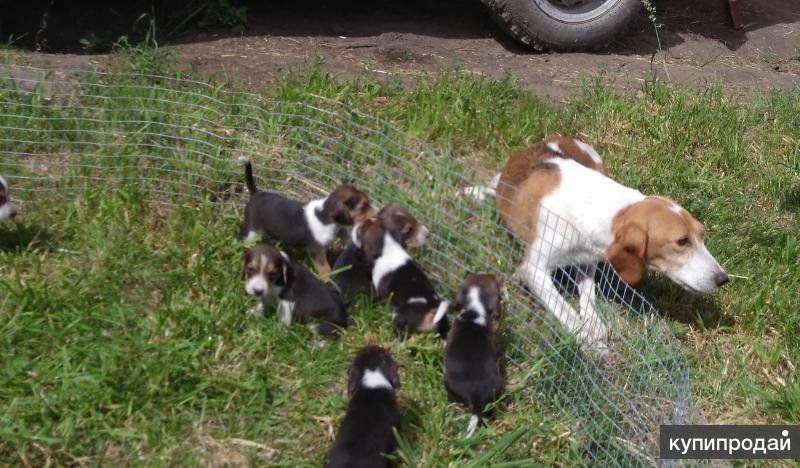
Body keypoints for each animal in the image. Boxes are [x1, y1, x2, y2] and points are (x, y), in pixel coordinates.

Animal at [239, 162, 376, 276]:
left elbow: (344, 235)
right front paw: (329, 279)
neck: (325, 215)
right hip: (253, 232)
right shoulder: (316, 251)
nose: (376, 211)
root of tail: (256, 194)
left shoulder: (338, 229)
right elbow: (325, 269)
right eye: (363, 206)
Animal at [472, 137, 728, 352]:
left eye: (701, 235)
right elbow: (565, 310)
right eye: (682, 241)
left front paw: (593, 323)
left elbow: (588, 294)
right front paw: (588, 341)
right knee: (491, 185)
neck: (607, 208)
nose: (723, 279)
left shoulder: (588, 258)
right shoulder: (534, 269)